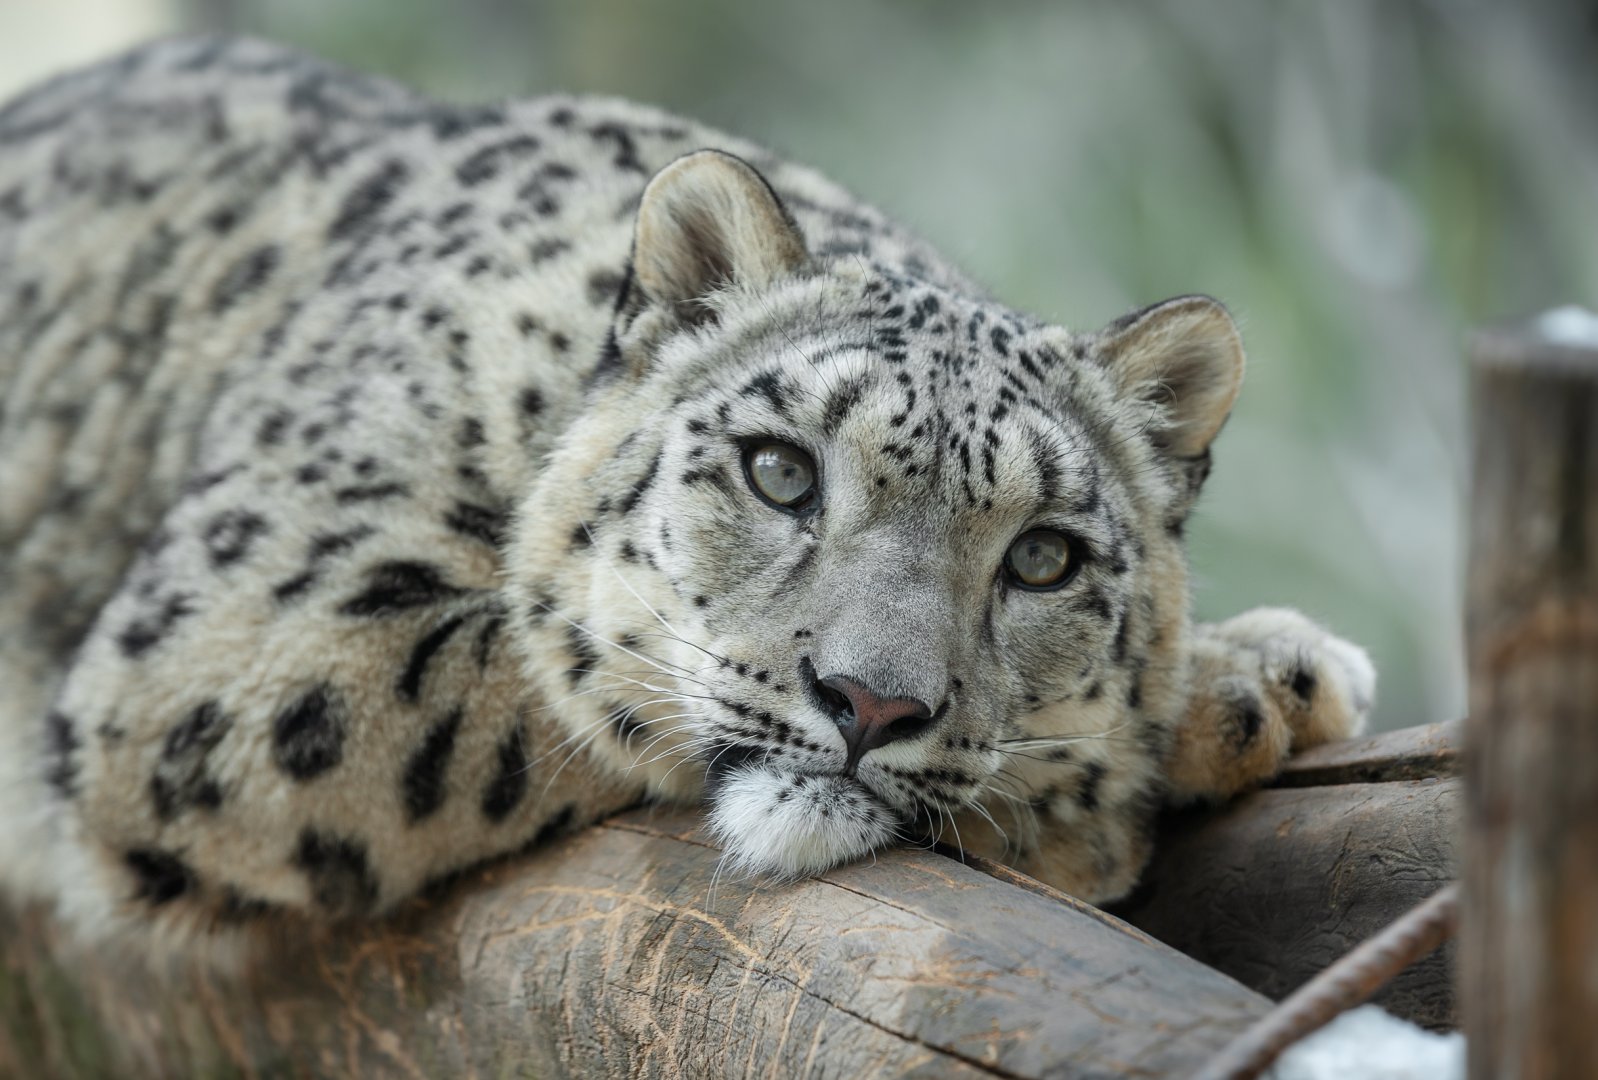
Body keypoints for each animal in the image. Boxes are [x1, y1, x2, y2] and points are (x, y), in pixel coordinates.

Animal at [0, 36, 1375, 962]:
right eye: (780, 471)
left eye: (1041, 557)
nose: (872, 704)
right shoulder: (237, 647)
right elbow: (554, 677)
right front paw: (1113, 784)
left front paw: (1258, 675)